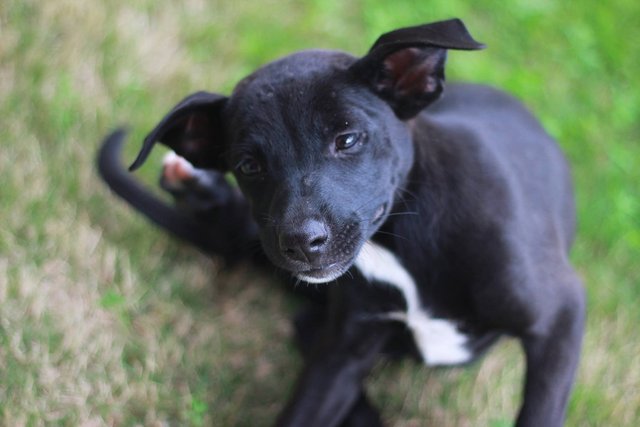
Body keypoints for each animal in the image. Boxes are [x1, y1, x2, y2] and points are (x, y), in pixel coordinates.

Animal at [99, 18, 584, 426]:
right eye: (249, 165)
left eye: (347, 139)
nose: (300, 242)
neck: (400, 239)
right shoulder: (342, 352)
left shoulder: (560, 314)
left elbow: (539, 413)